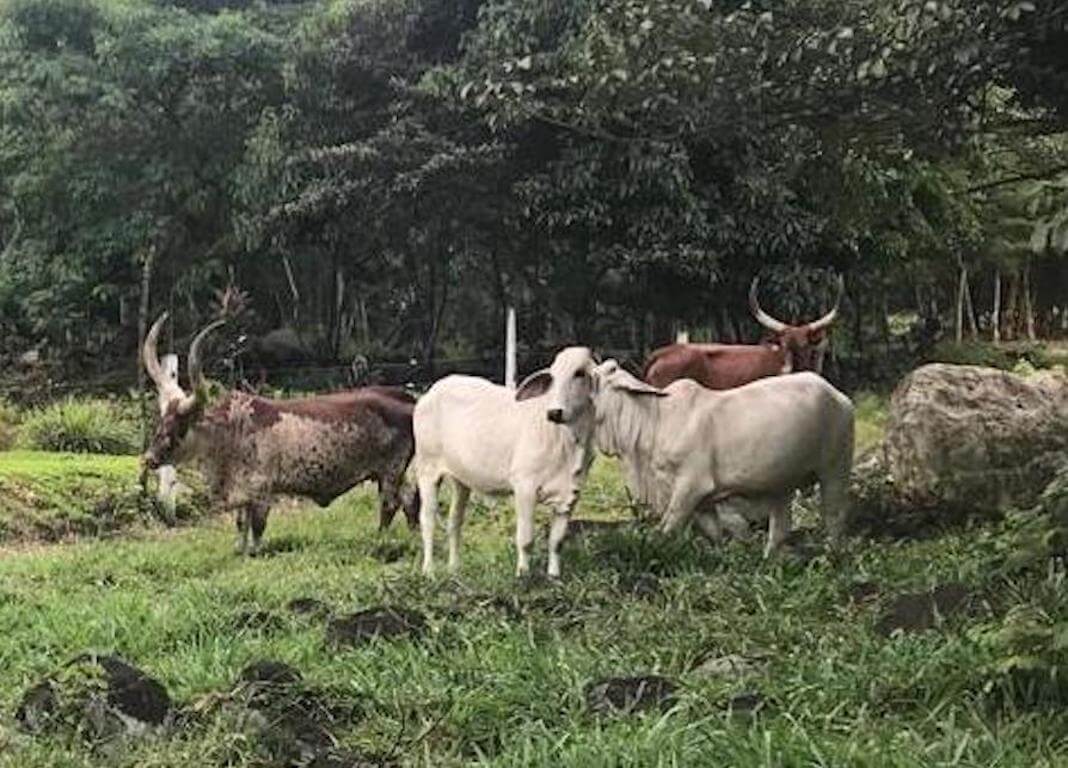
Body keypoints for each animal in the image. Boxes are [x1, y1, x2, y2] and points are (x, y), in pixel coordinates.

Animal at [140, 316, 420, 555]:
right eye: (161, 423)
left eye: (181, 427)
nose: (149, 458)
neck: (231, 431)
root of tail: (408, 400)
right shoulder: (243, 495)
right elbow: (241, 524)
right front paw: (239, 550)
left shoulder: (262, 490)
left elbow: (257, 527)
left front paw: (254, 552)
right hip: (398, 472)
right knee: (410, 499)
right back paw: (414, 537)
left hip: (390, 471)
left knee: (390, 504)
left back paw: (380, 541)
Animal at [412, 346, 602, 576]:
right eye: (553, 377)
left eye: (579, 373)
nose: (554, 412)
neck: (569, 441)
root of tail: (433, 390)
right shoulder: (525, 487)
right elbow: (526, 539)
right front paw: (523, 574)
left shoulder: (571, 494)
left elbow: (557, 541)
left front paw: (554, 576)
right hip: (427, 469)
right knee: (428, 519)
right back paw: (429, 570)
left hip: (461, 480)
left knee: (454, 521)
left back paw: (454, 568)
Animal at [593, 361, 850, 551]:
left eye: (593, 378)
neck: (656, 420)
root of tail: (839, 396)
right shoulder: (703, 502)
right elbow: (714, 535)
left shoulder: (691, 486)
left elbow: (667, 528)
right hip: (782, 482)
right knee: (780, 527)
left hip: (835, 469)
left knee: (834, 517)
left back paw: (831, 559)